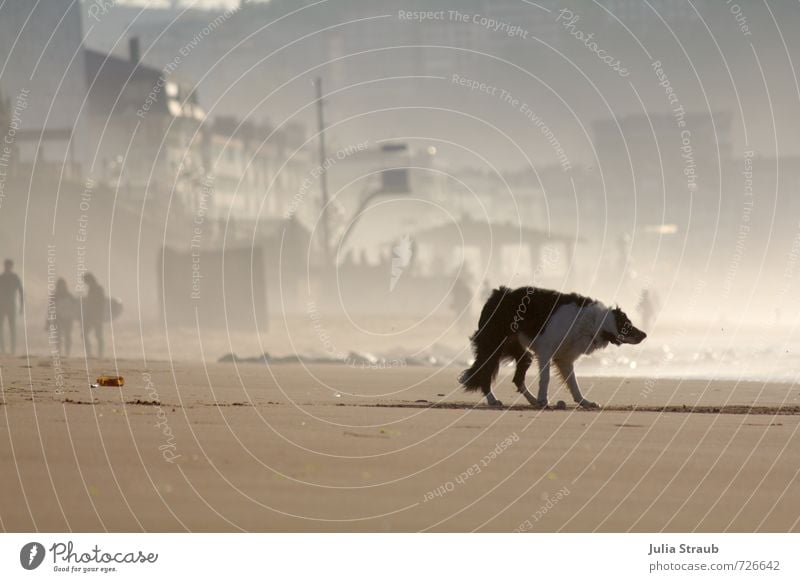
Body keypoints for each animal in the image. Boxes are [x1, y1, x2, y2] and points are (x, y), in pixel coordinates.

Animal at [460, 288, 648, 410]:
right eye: (628, 325)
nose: (645, 335)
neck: (594, 323)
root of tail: (497, 294)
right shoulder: (545, 352)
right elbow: (546, 379)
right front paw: (544, 399)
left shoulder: (564, 359)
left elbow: (574, 383)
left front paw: (584, 402)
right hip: (493, 346)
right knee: (484, 374)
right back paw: (493, 400)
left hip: (524, 354)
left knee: (518, 379)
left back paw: (533, 401)